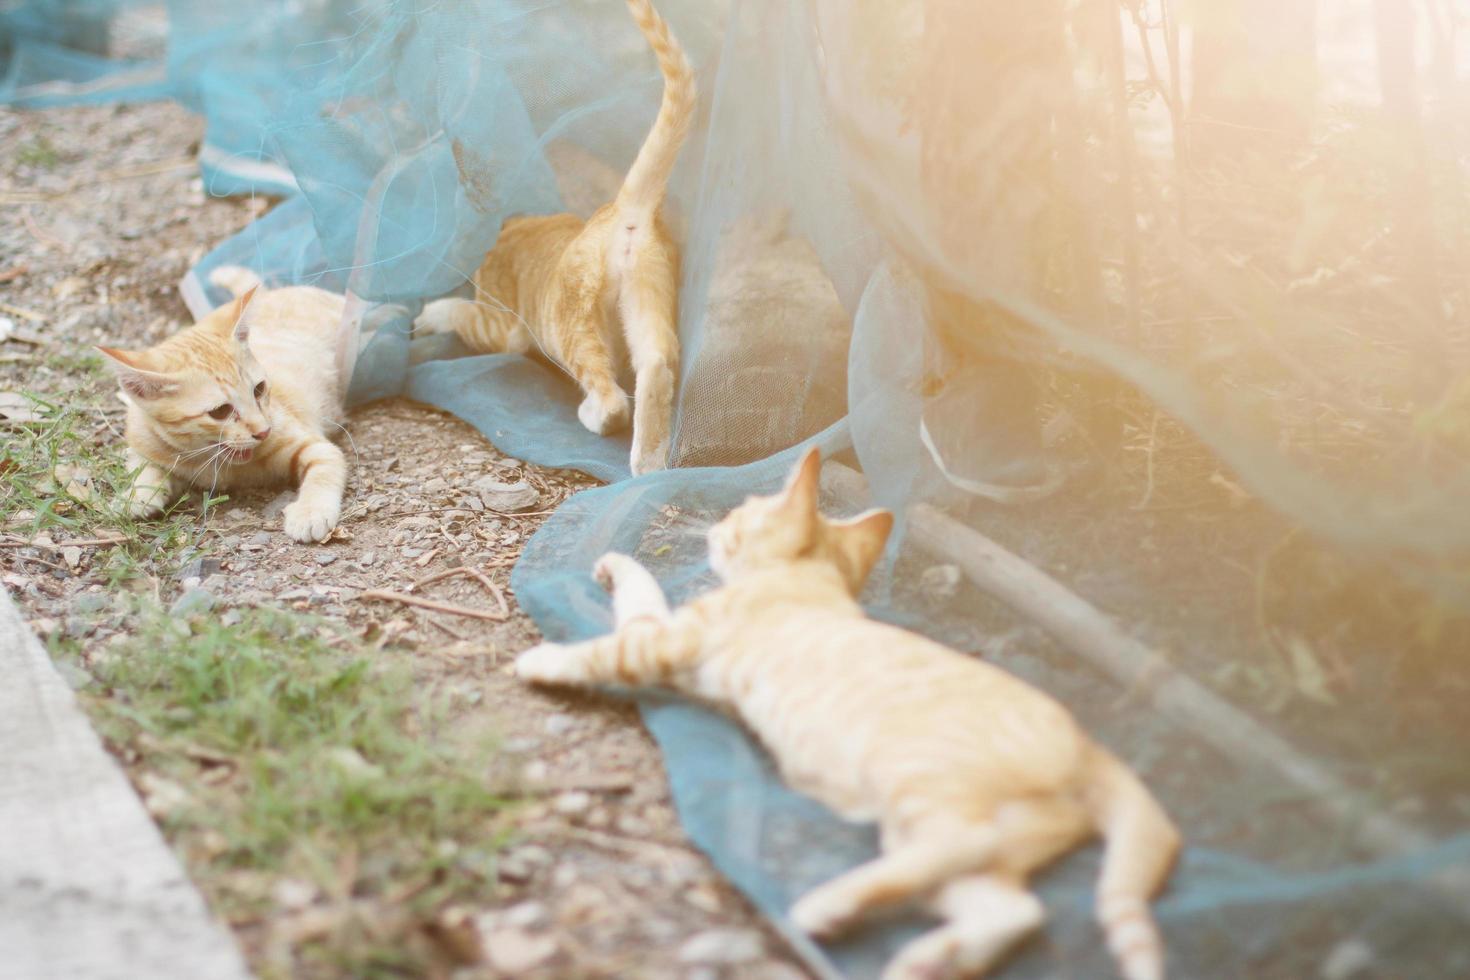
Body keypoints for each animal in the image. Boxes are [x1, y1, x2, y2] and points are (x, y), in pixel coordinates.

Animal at [99, 268, 349, 543]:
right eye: (220, 412)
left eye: (258, 389)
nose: (264, 431)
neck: (209, 459)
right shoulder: (142, 441)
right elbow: (143, 466)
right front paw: (137, 495)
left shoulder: (313, 444)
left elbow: (324, 466)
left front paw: (311, 511)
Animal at [408, 0, 693, 476]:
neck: (514, 227)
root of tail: (622, 211)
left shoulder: (502, 325)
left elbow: (463, 314)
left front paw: (431, 313)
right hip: (649, 297)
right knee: (656, 362)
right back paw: (649, 463)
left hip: (571, 325)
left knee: (611, 395)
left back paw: (599, 418)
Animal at [517, 449, 1181, 980]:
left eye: (744, 515)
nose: (720, 524)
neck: (812, 584)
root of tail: (1090, 746)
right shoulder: (669, 636)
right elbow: (643, 591)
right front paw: (617, 566)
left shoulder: (666, 643)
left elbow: (605, 647)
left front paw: (542, 660)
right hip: (971, 844)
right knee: (1013, 907)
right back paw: (922, 958)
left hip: (919, 781)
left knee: (962, 847)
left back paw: (828, 906)